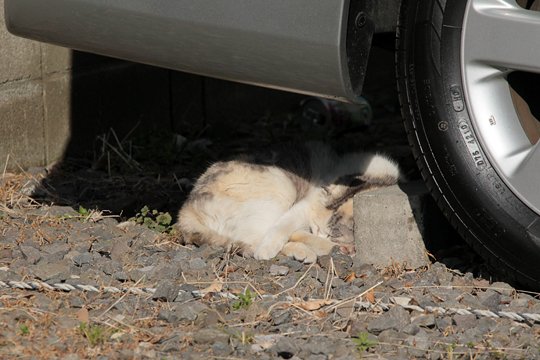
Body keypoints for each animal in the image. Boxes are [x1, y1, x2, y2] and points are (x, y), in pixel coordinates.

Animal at [177, 142, 400, 262]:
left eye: (332, 233)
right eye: (321, 229)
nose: (318, 232)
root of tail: (185, 212)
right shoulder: (304, 207)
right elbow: (281, 229)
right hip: (281, 187)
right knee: (256, 240)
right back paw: (305, 251)